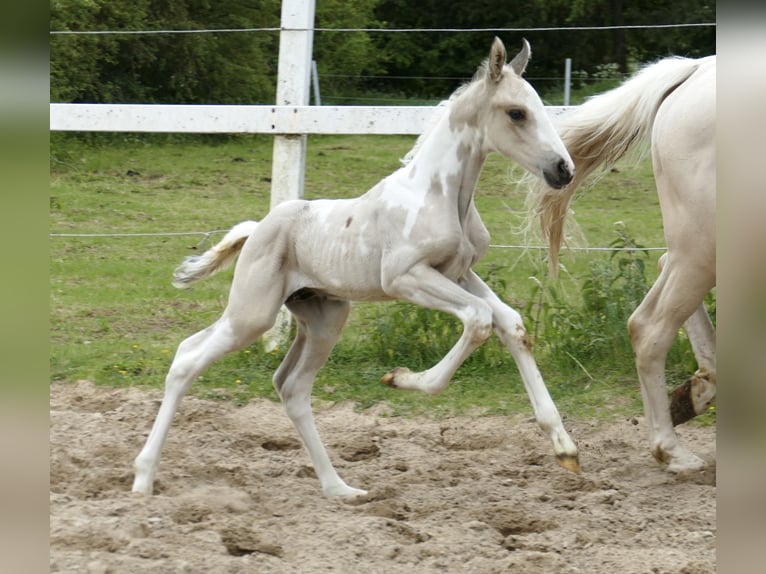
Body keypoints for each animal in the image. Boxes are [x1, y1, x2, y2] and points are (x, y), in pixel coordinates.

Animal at [131, 37, 580, 498]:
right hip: (252, 315)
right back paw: (143, 478)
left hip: (324, 316)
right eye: (516, 112)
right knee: (187, 358)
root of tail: (257, 229)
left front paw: (566, 448)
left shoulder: (459, 272)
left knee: (292, 388)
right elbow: (479, 319)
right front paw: (398, 378)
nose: (564, 169)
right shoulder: (405, 277)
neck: (440, 194)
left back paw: (339, 489)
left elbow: (510, 322)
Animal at [527, 54, 716, 472]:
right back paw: (673, 449)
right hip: (703, 248)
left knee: (662, 273)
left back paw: (691, 396)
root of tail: (693, 69)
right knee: (649, 327)